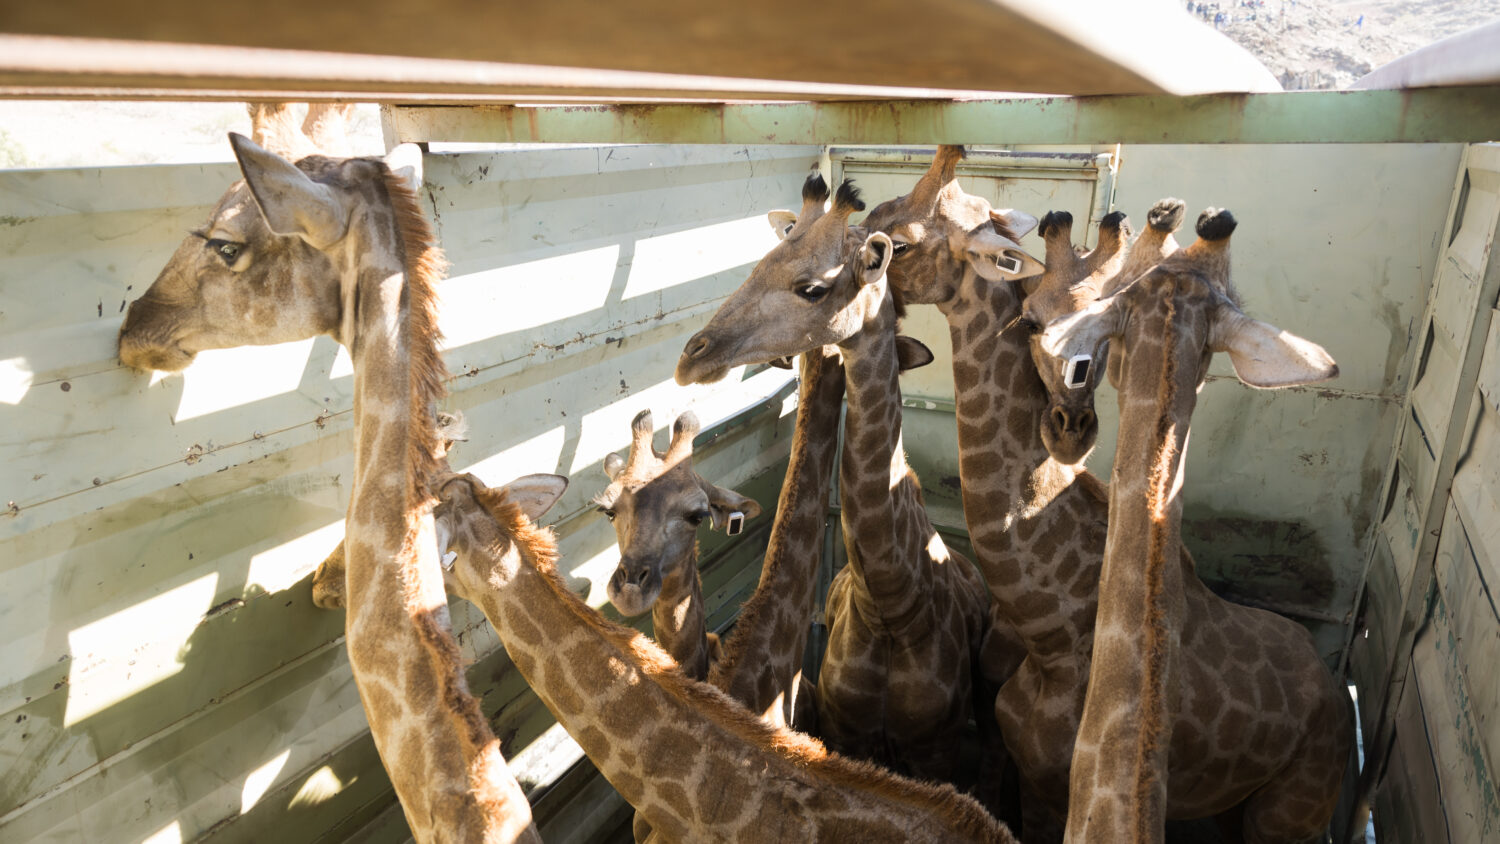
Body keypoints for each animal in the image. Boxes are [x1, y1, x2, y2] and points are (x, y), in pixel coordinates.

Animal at [675, 174, 1026, 791]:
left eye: (812, 288)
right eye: (758, 263)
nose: (691, 358)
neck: (891, 602)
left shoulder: (941, 750)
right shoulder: (846, 732)